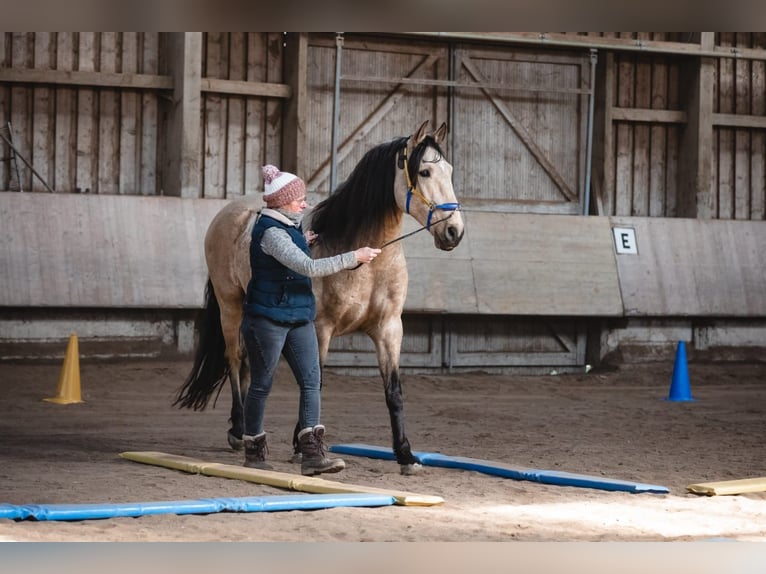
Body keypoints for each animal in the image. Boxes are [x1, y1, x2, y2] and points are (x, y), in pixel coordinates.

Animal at [174, 120, 465, 475]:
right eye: (424, 171)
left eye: (449, 171)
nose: (454, 232)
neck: (368, 260)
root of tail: (229, 212)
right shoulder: (321, 329)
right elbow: (315, 382)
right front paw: (303, 446)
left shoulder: (389, 329)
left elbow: (393, 392)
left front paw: (406, 456)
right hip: (230, 306)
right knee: (235, 360)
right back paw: (239, 430)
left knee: (250, 368)